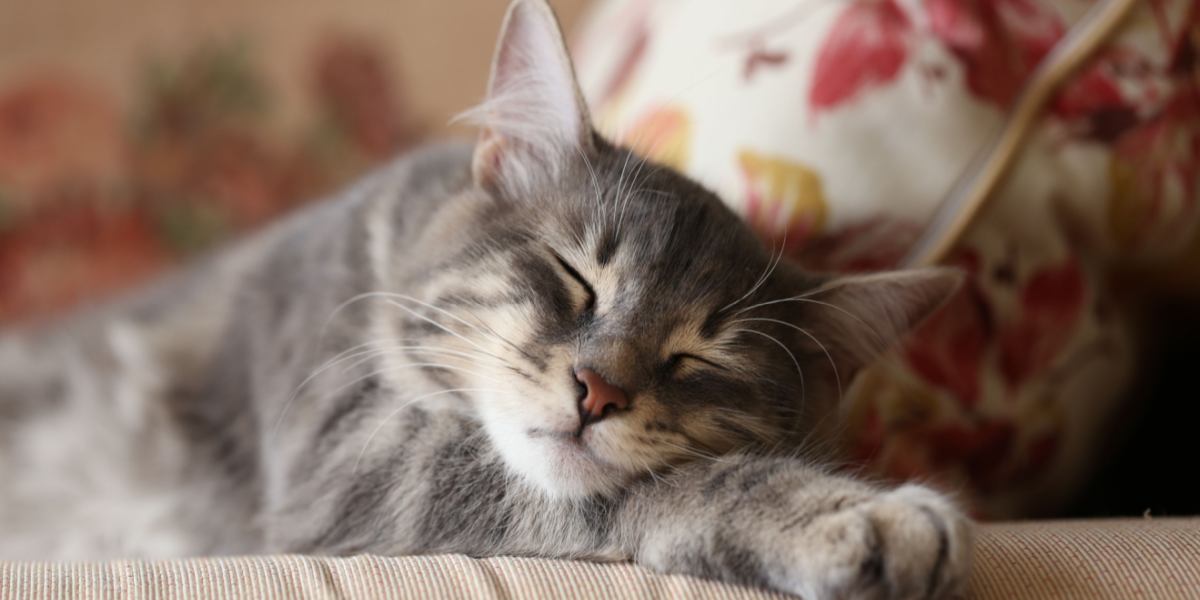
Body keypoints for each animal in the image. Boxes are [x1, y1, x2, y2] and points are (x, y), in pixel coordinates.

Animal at [0, 2, 974, 597]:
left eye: (698, 356)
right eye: (576, 277)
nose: (599, 391)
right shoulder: (344, 453)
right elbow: (672, 485)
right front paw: (850, 513)